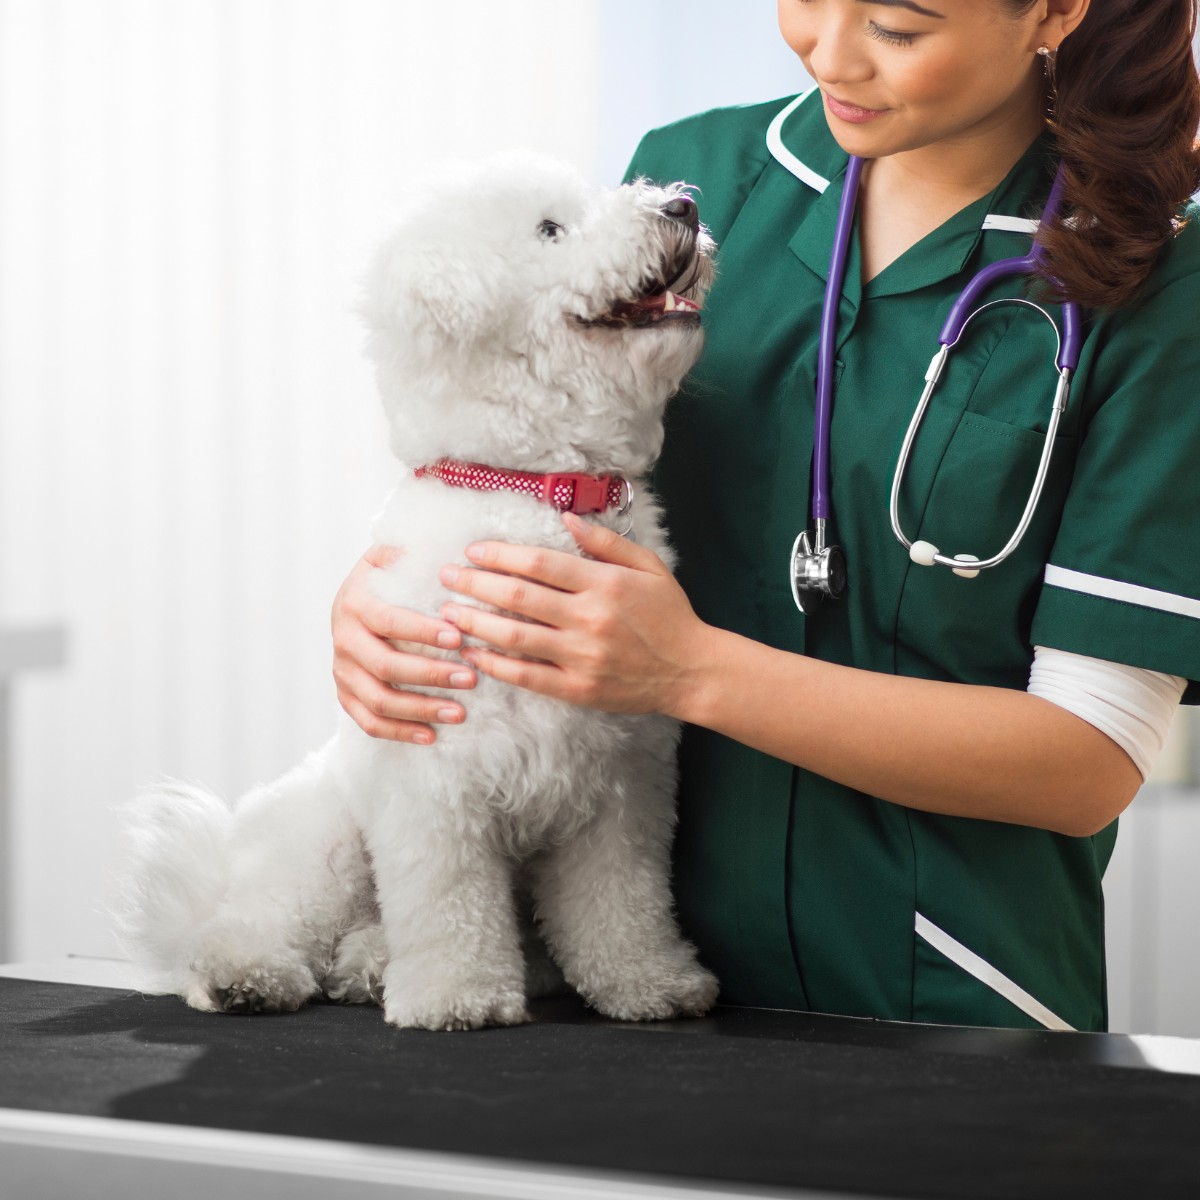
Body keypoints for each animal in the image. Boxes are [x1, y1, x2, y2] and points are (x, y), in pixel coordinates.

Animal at [114, 150, 710, 1032]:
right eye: (550, 228)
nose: (682, 206)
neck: (534, 488)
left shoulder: (623, 786)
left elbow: (624, 902)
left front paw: (649, 982)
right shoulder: (435, 779)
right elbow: (449, 903)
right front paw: (455, 996)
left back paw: (368, 966)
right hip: (324, 844)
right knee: (248, 925)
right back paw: (247, 974)